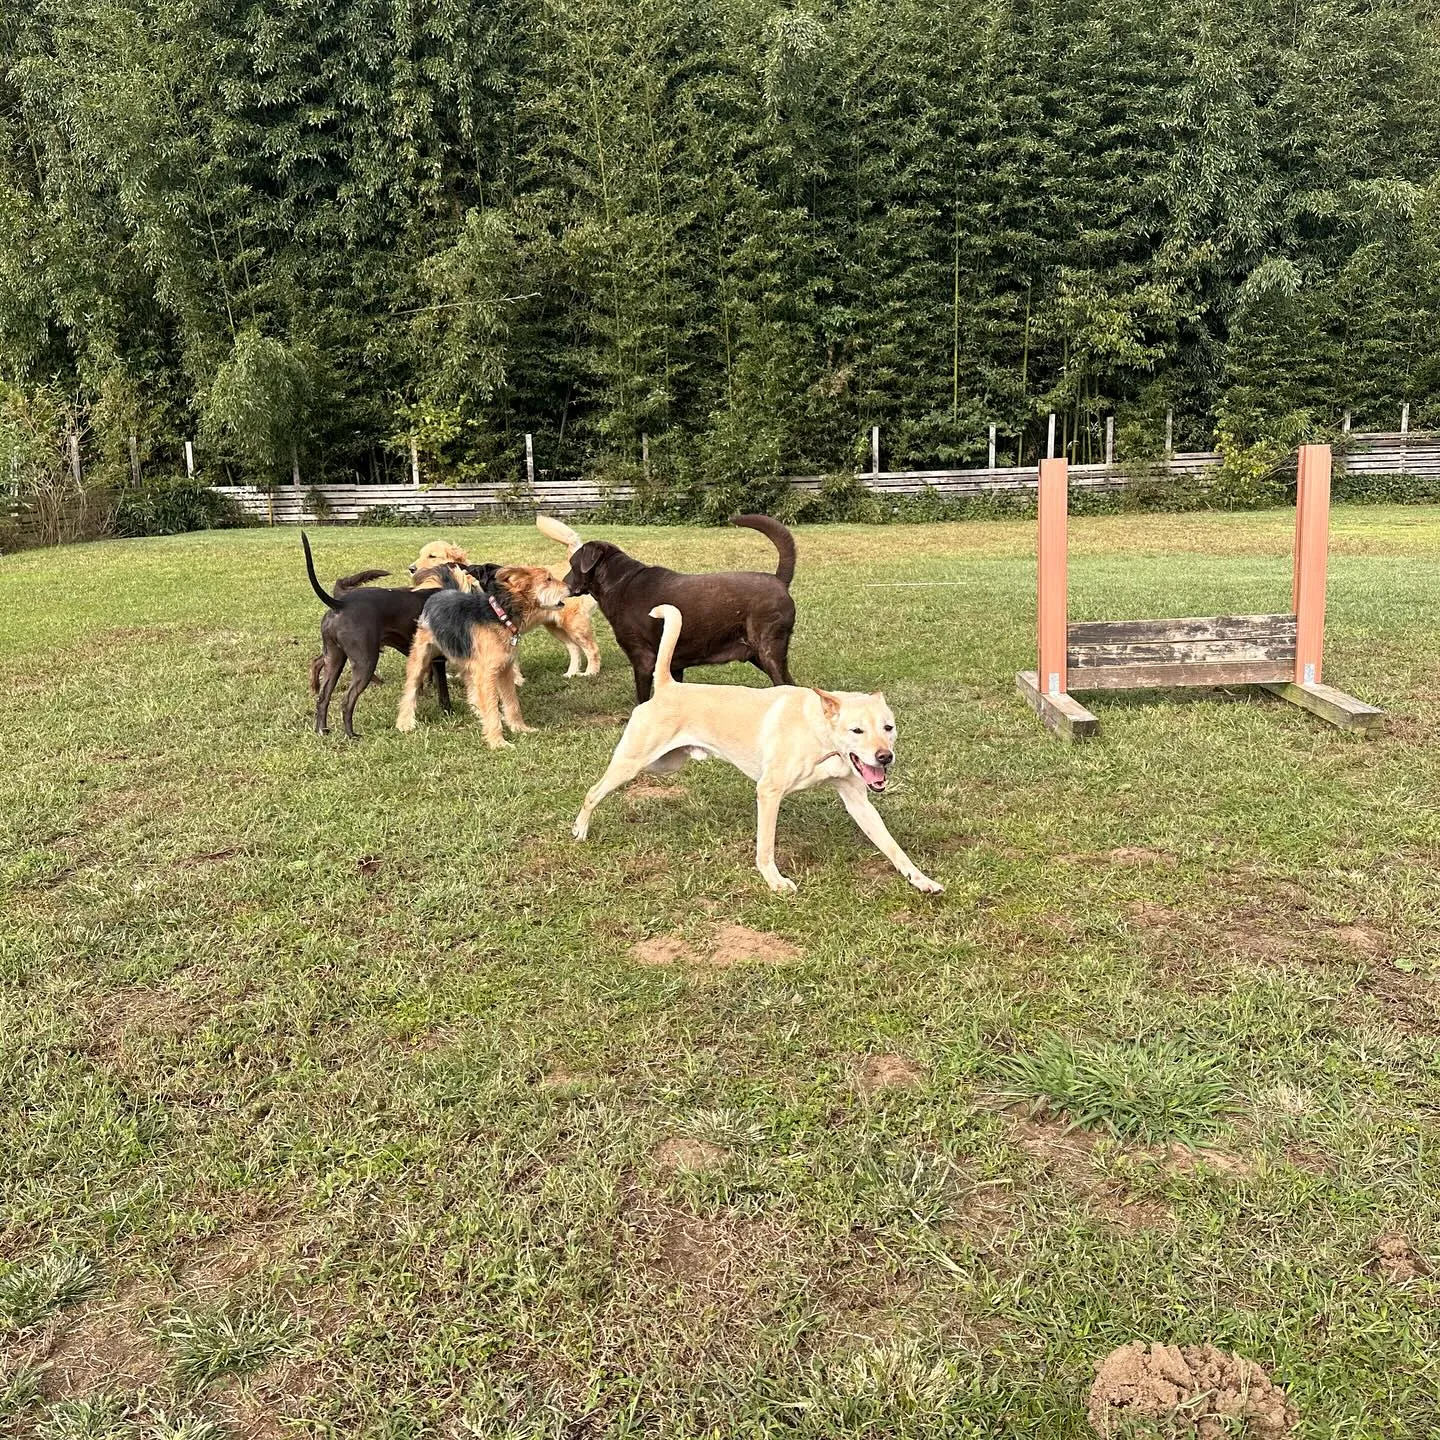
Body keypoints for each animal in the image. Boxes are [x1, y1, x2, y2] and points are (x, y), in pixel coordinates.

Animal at [400, 561, 573, 748]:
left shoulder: (505, 669)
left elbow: (512, 703)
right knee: (410, 689)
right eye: (548, 579)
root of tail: (443, 591)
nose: (571, 587)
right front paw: (498, 742)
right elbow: (492, 708)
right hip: (421, 656)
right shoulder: (487, 674)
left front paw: (520, 728)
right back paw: (404, 723)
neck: (500, 614)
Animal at [408, 541, 599, 679]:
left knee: (592, 648)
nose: (411, 569)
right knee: (574, 648)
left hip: (574, 625)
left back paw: (591, 673)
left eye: (432, 556)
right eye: (420, 554)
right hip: (555, 627)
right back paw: (571, 673)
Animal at [538, 512, 794, 702]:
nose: (563, 585)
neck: (620, 583)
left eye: (573, 564)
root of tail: (779, 580)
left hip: (768, 652)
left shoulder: (642, 659)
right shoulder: (673, 665)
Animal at [573, 601, 944, 892]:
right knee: (593, 791)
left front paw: (921, 880)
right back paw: (580, 830)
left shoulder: (858, 799)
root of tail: (668, 686)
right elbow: (766, 846)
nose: (885, 757)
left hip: (664, 763)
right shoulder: (769, 792)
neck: (820, 734)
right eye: (857, 730)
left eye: (888, 727)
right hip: (635, 762)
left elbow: (892, 846)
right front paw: (775, 881)